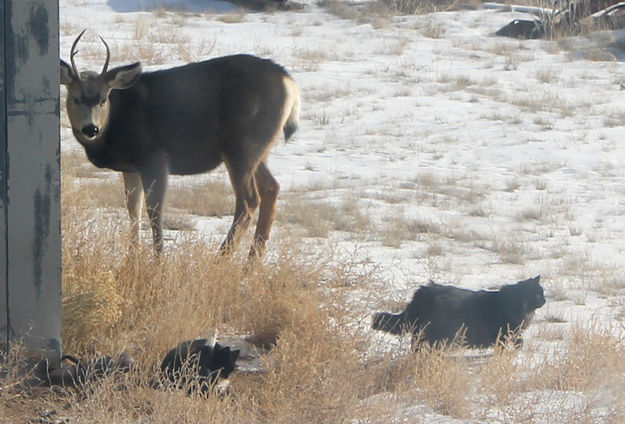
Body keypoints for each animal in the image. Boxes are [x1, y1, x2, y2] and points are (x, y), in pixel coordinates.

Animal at [59, 30, 300, 258]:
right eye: (75, 99)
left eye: (103, 100)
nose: (91, 128)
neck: (115, 121)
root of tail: (290, 83)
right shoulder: (130, 167)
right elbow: (133, 209)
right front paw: (131, 258)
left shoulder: (154, 157)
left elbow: (154, 210)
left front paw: (158, 260)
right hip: (257, 149)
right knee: (271, 188)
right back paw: (251, 263)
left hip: (242, 146)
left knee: (248, 201)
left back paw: (220, 259)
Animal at [372, 276, 544, 350]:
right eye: (538, 295)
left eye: (542, 293)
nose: (545, 300)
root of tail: (423, 292)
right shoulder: (507, 333)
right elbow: (516, 344)